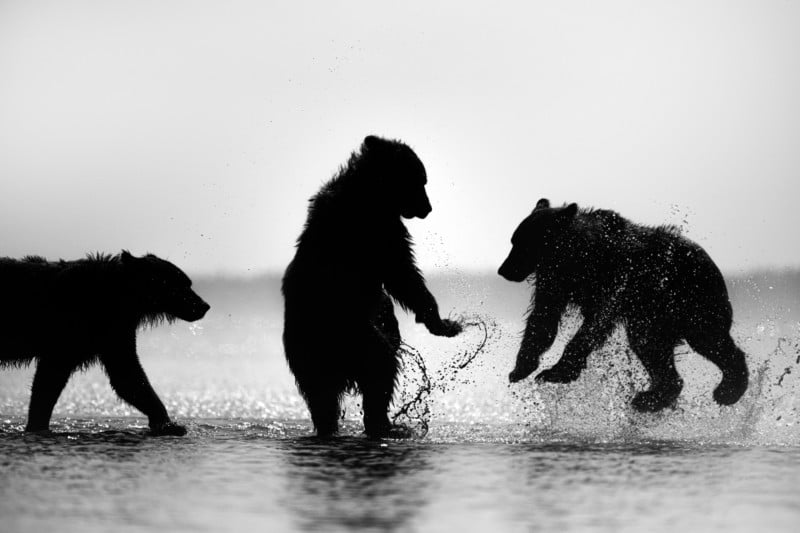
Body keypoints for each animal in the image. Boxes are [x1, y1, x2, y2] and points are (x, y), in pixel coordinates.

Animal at [0, 251, 209, 434]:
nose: (204, 306)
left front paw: (166, 423)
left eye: (188, 283)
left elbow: (127, 375)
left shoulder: (112, 333)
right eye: (182, 284)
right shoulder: (73, 332)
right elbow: (49, 379)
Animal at [284, 133, 466, 436]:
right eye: (420, 180)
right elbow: (402, 273)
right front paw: (440, 321)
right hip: (350, 335)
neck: (372, 193)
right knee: (380, 371)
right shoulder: (378, 230)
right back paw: (384, 424)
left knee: (322, 397)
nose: (428, 208)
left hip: (312, 355)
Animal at [500, 200, 752, 412]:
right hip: (661, 315)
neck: (577, 258)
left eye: (523, 244)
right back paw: (652, 398)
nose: (503, 270)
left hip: (692, 301)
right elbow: (543, 318)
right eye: (513, 241)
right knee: (653, 346)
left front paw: (556, 371)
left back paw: (728, 390)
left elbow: (596, 322)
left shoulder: (617, 279)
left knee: (706, 339)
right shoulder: (554, 281)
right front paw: (521, 368)